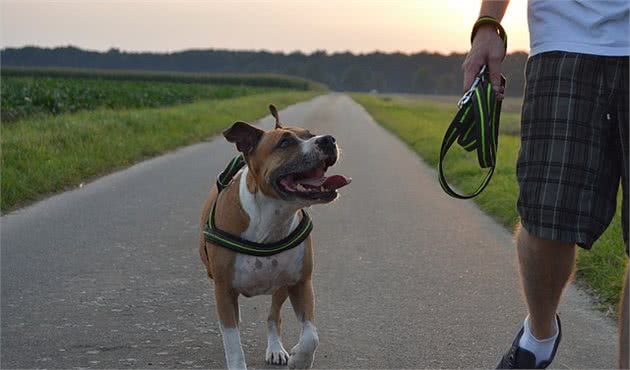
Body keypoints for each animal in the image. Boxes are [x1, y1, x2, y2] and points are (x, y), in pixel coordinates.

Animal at [200, 105, 350, 370]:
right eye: (285, 142)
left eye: (311, 134)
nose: (328, 139)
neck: (271, 220)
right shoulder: (224, 290)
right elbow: (233, 344)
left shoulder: (301, 283)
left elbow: (311, 336)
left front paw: (300, 359)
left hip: (280, 287)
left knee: (273, 317)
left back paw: (276, 349)